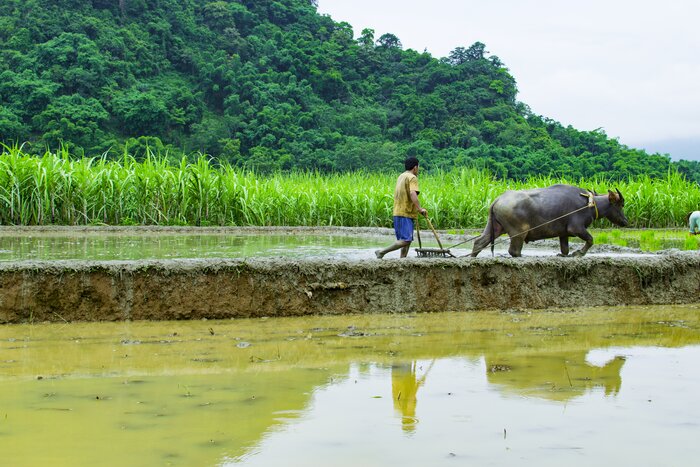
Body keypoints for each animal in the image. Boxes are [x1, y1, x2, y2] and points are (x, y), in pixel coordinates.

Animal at [470, 185, 628, 258]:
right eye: (620, 204)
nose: (625, 221)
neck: (589, 203)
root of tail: (498, 199)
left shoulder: (563, 233)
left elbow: (565, 249)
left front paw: (564, 255)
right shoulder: (576, 228)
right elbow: (590, 239)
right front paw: (579, 253)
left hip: (495, 227)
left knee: (479, 242)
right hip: (519, 231)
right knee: (514, 251)